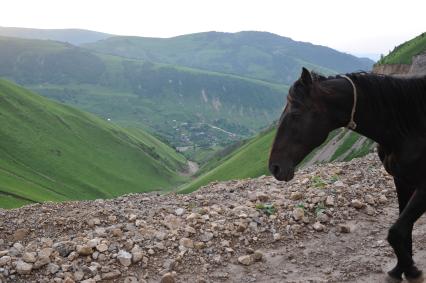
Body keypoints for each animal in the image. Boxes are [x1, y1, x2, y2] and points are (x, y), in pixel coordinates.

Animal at [270, 67, 426, 282]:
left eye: (295, 114)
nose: (274, 167)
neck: (409, 128)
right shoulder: (402, 181)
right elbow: (404, 230)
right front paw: (403, 268)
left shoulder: (424, 188)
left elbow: (396, 232)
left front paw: (411, 269)